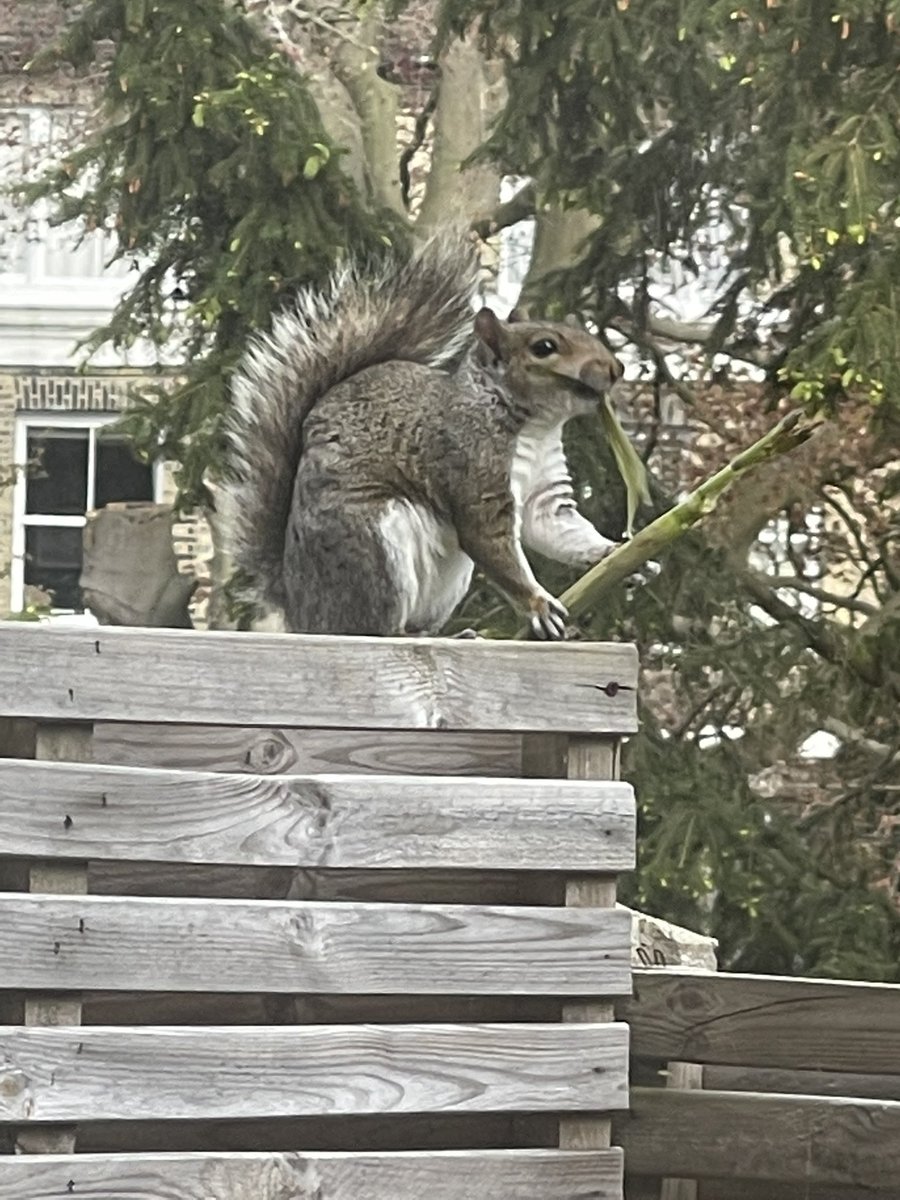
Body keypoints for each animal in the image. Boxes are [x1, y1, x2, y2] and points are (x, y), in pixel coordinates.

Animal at [226, 226, 628, 638]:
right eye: (544, 347)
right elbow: (488, 541)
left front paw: (615, 553)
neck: (534, 426)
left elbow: (558, 528)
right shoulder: (471, 467)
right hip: (375, 544)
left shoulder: (544, 495)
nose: (616, 369)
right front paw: (539, 605)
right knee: (375, 627)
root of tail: (302, 610)